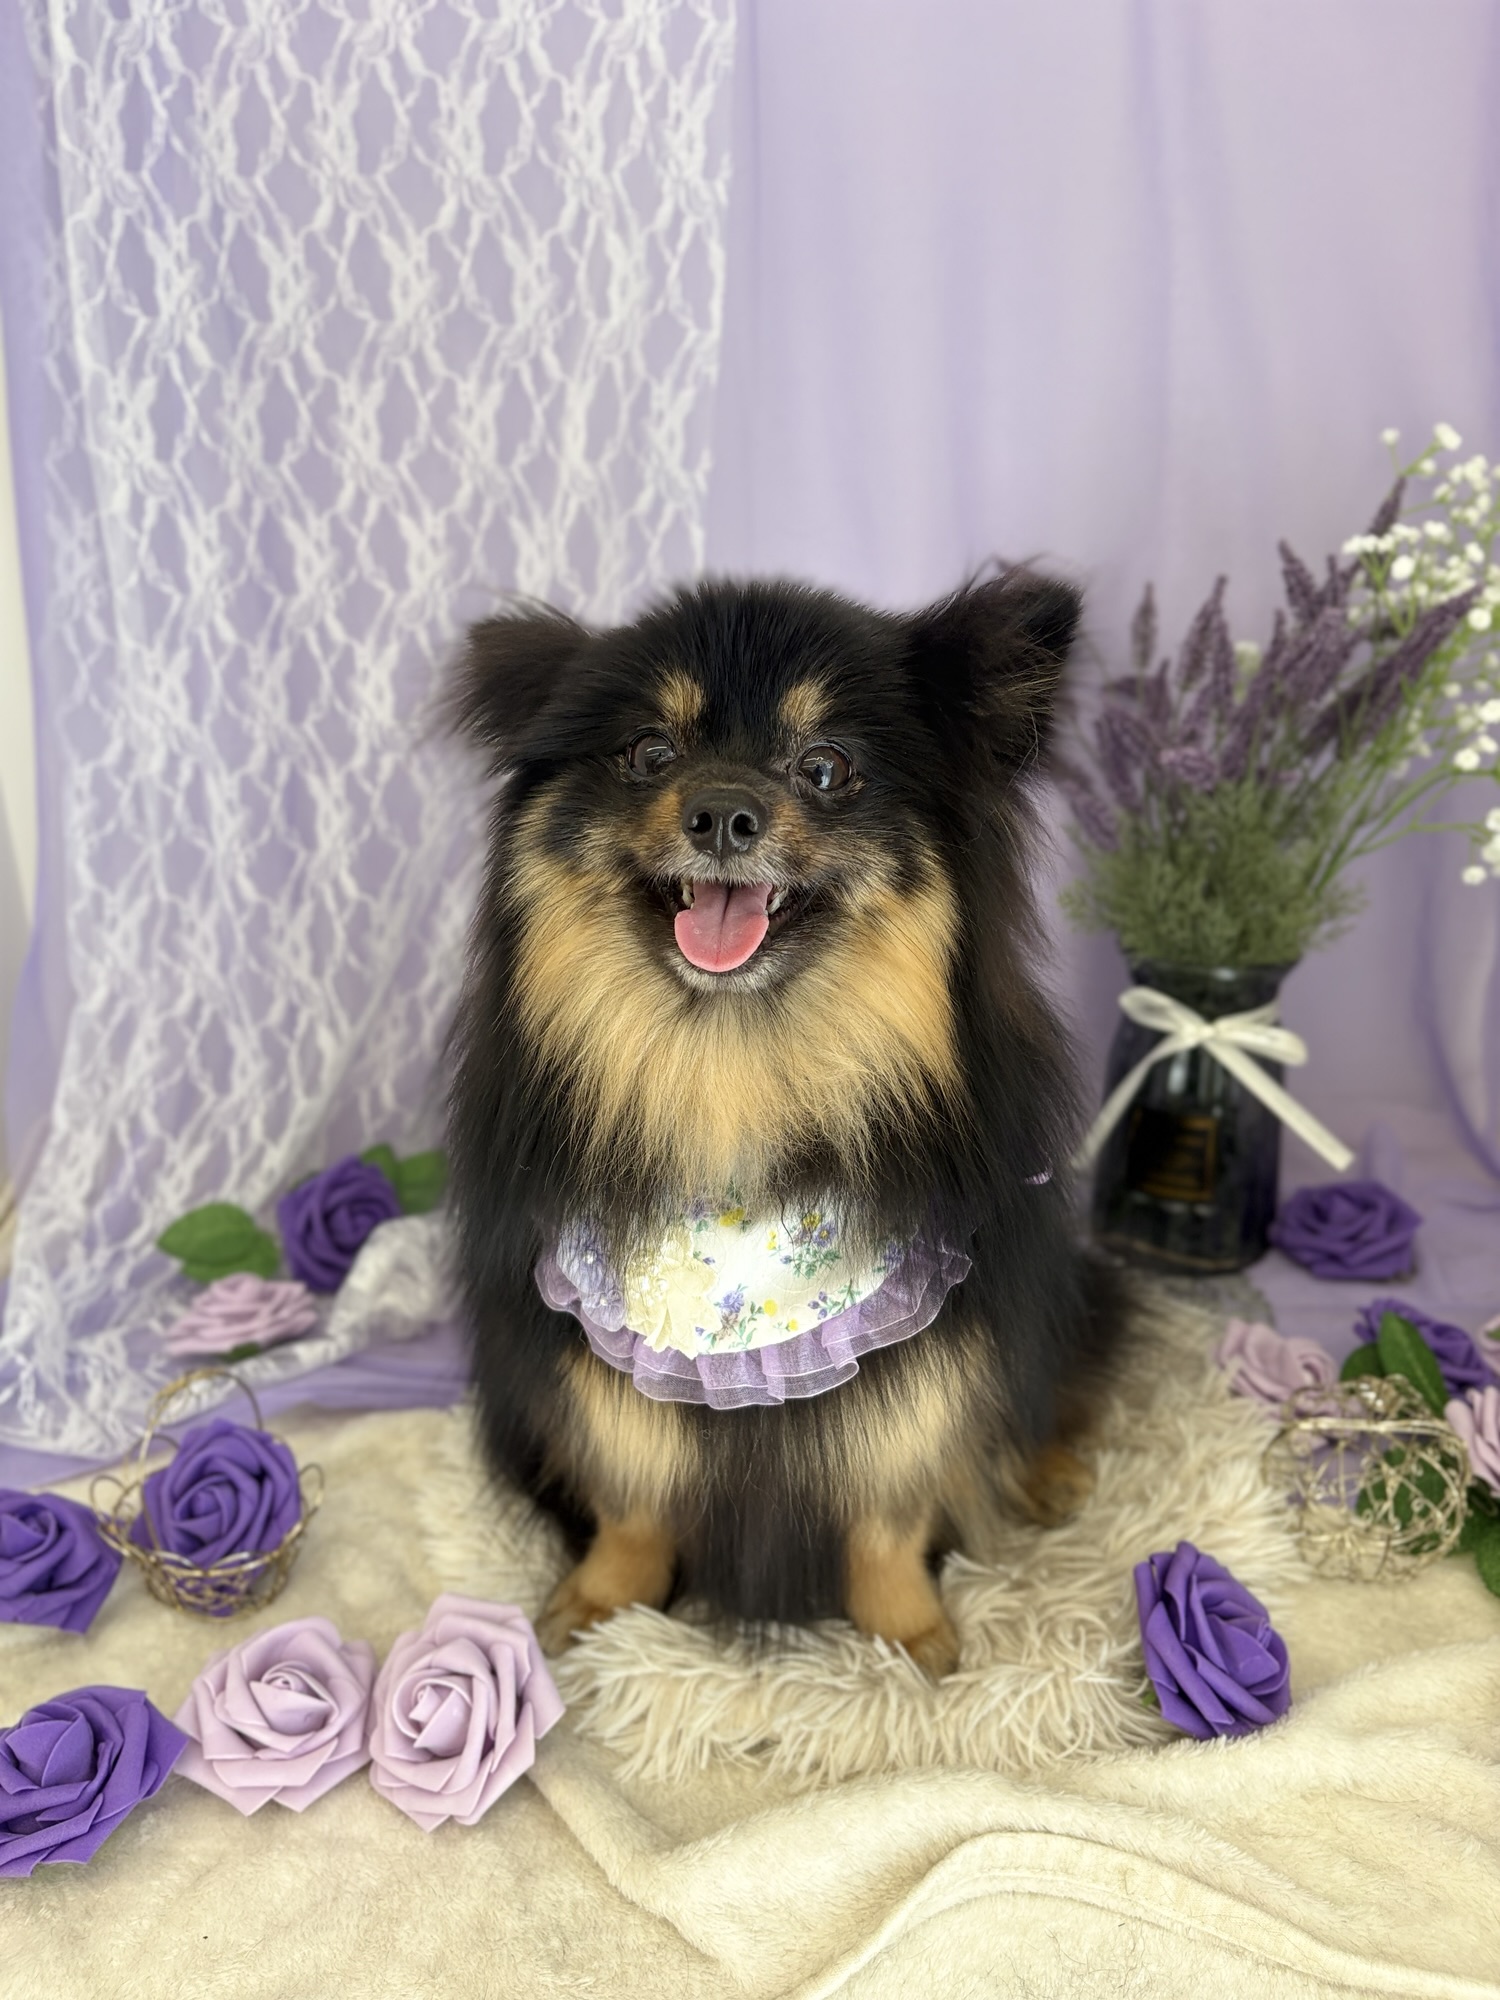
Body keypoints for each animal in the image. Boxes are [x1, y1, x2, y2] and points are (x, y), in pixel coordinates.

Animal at [444, 569, 1129, 1677]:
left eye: (825, 767)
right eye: (649, 752)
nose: (723, 811)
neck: (733, 1075)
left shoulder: (931, 1334)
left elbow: (892, 1498)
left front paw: (909, 1638)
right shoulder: (588, 1332)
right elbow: (630, 1490)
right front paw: (604, 1602)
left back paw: (1046, 1471)